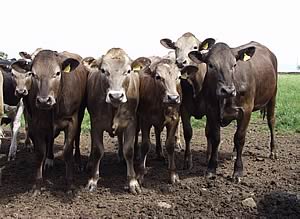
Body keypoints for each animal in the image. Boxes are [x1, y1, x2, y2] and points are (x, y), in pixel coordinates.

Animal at [137, 57, 182, 185]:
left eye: (179, 77)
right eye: (158, 77)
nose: (173, 98)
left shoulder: (174, 119)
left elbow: (170, 145)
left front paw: (173, 174)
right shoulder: (144, 120)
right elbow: (145, 145)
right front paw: (141, 173)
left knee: (157, 133)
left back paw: (160, 153)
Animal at [189, 39, 278, 181]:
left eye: (234, 64)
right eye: (210, 65)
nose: (228, 90)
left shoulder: (246, 110)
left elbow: (240, 138)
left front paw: (238, 171)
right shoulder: (211, 110)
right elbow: (216, 138)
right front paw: (211, 169)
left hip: (272, 96)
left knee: (271, 121)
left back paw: (273, 151)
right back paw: (235, 153)